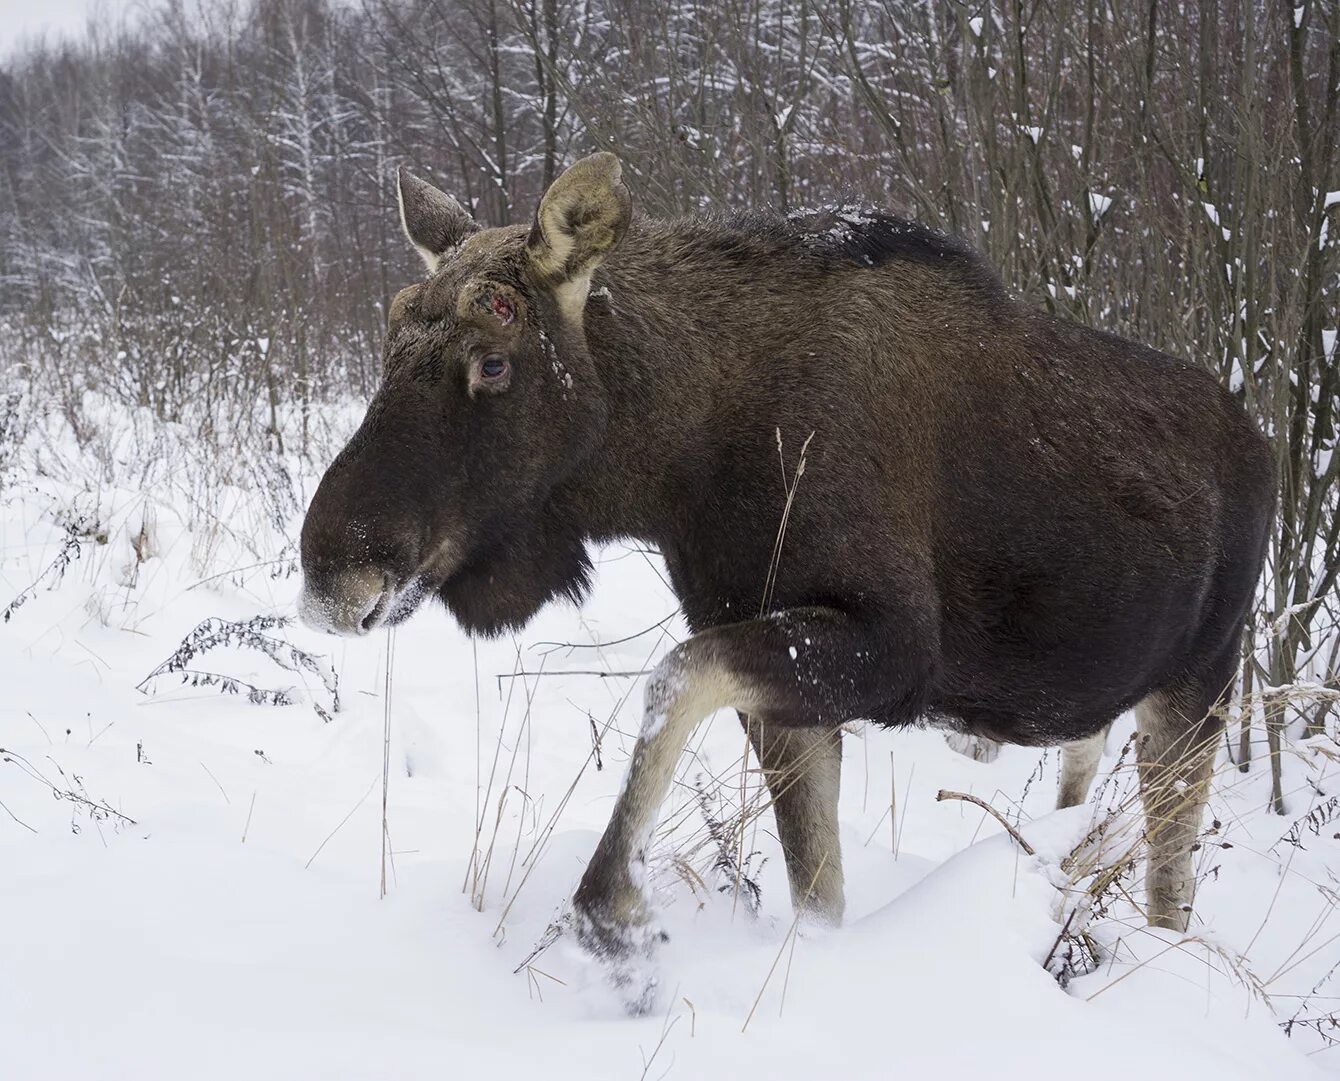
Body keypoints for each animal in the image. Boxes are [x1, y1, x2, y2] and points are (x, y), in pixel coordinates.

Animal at [304, 152, 1275, 991]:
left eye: (495, 360)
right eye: (389, 340)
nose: (329, 573)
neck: (687, 459)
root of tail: (1267, 445)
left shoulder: (893, 648)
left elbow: (673, 678)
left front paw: (612, 908)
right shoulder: (783, 677)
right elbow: (816, 886)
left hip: (1203, 685)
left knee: (1170, 888)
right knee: (1086, 772)